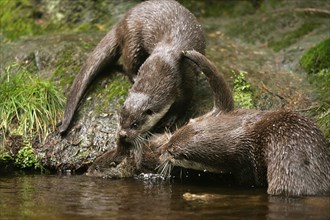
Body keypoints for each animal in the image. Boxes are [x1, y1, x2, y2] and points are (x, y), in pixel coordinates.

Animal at [58, 0, 205, 153]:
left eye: (135, 124)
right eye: (121, 119)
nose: (122, 134)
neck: (165, 63)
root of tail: (122, 21)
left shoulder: (186, 79)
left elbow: (183, 104)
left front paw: (169, 119)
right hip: (133, 39)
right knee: (127, 62)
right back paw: (134, 77)